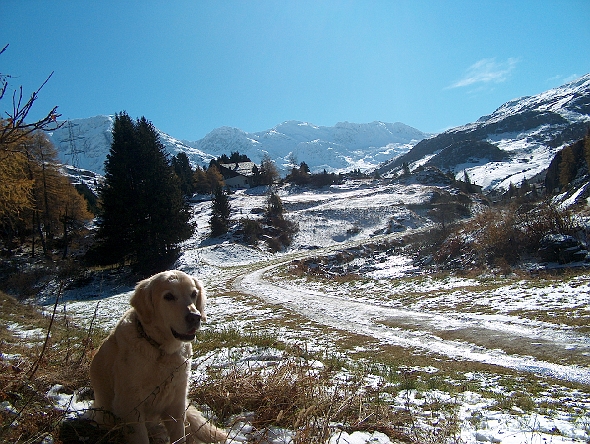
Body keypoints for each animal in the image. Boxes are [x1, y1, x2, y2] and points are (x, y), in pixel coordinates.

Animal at [89, 270, 228, 443]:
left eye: (193, 294)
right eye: (168, 296)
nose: (195, 317)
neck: (161, 350)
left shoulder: (177, 401)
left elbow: (179, 435)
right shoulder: (130, 407)